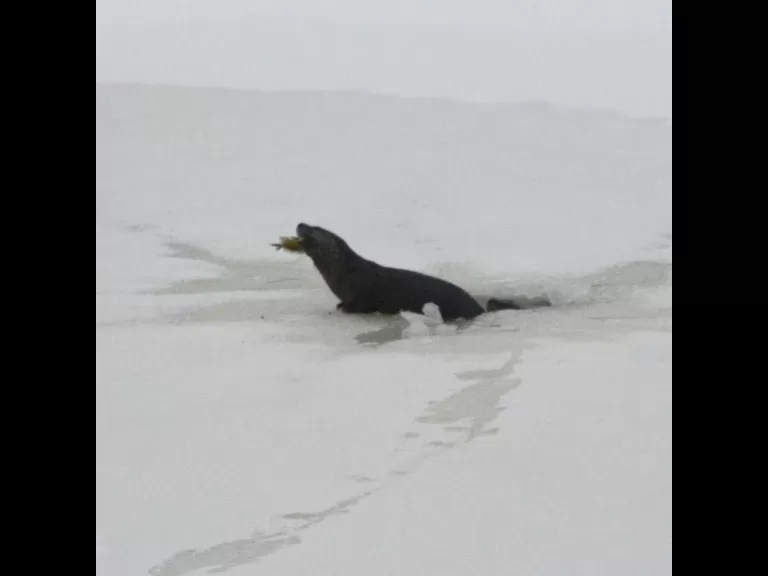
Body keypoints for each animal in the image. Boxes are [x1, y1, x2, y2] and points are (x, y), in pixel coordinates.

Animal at [293, 223, 550, 323]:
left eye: (314, 229)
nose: (300, 223)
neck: (346, 274)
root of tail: (477, 309)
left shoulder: (364, 291)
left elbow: (362, 304)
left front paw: (344, 308)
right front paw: (339, 305)